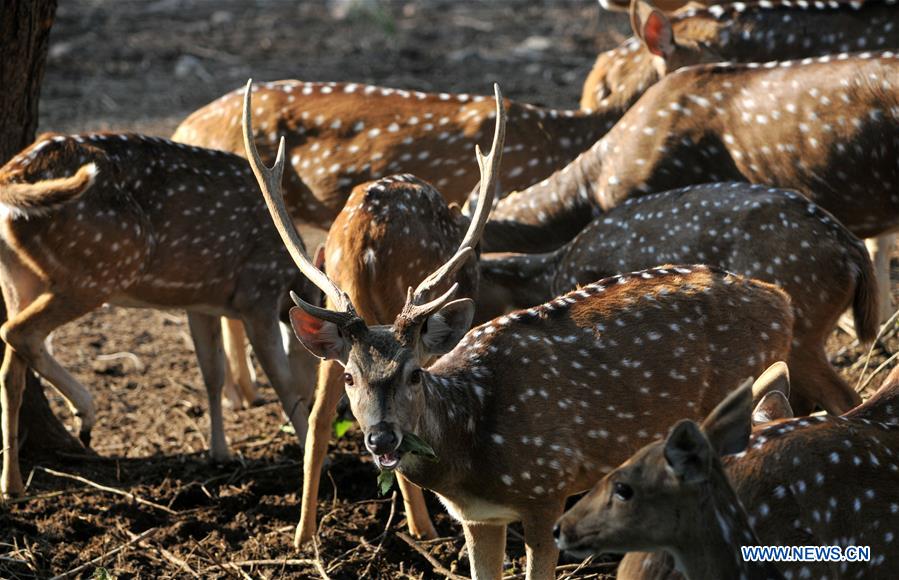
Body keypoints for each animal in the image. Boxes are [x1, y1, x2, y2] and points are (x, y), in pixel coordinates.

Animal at [0, 133, 322, 498]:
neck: (288, 278)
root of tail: (12, 174)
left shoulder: (202, 303)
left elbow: (212, 374)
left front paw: (220, 453)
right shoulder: (257, 293)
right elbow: (282, 380)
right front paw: (310, 453)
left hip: (20, 277)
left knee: (10, 371)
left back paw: (12, 484)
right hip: (101, 268)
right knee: (18, 332)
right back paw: (85, 412)